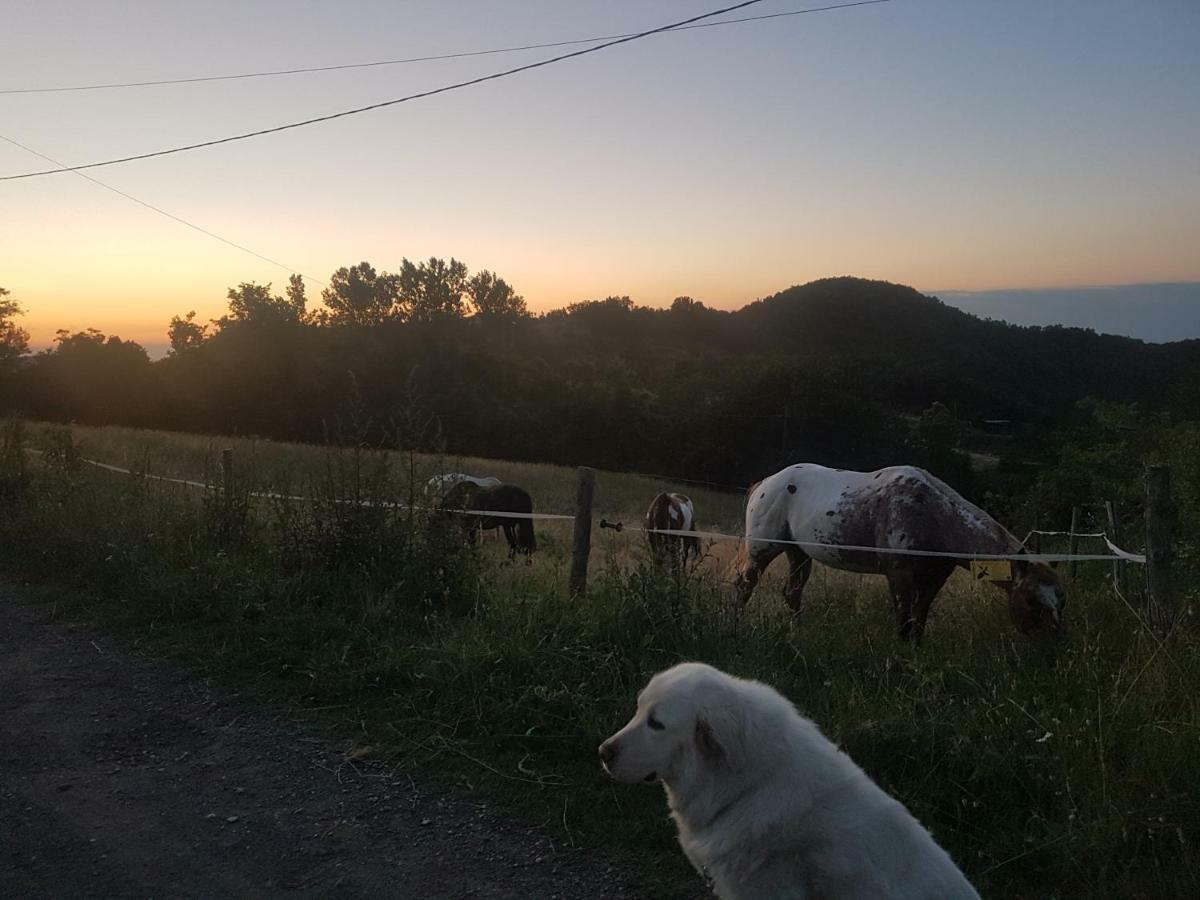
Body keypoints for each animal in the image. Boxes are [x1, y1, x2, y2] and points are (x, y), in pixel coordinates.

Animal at [734, 465, 1065, 643]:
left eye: (1062, 600)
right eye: (1030, 599)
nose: (1055, 645)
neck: (935, 517)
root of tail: (766, 482)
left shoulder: (933, 580)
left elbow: (919, 618)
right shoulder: (900, 576)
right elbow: (905, 620)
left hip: (799, 554)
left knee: (792, 593)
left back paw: (798, 633)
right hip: (762, 550)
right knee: (745, 585)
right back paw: (737, 623)